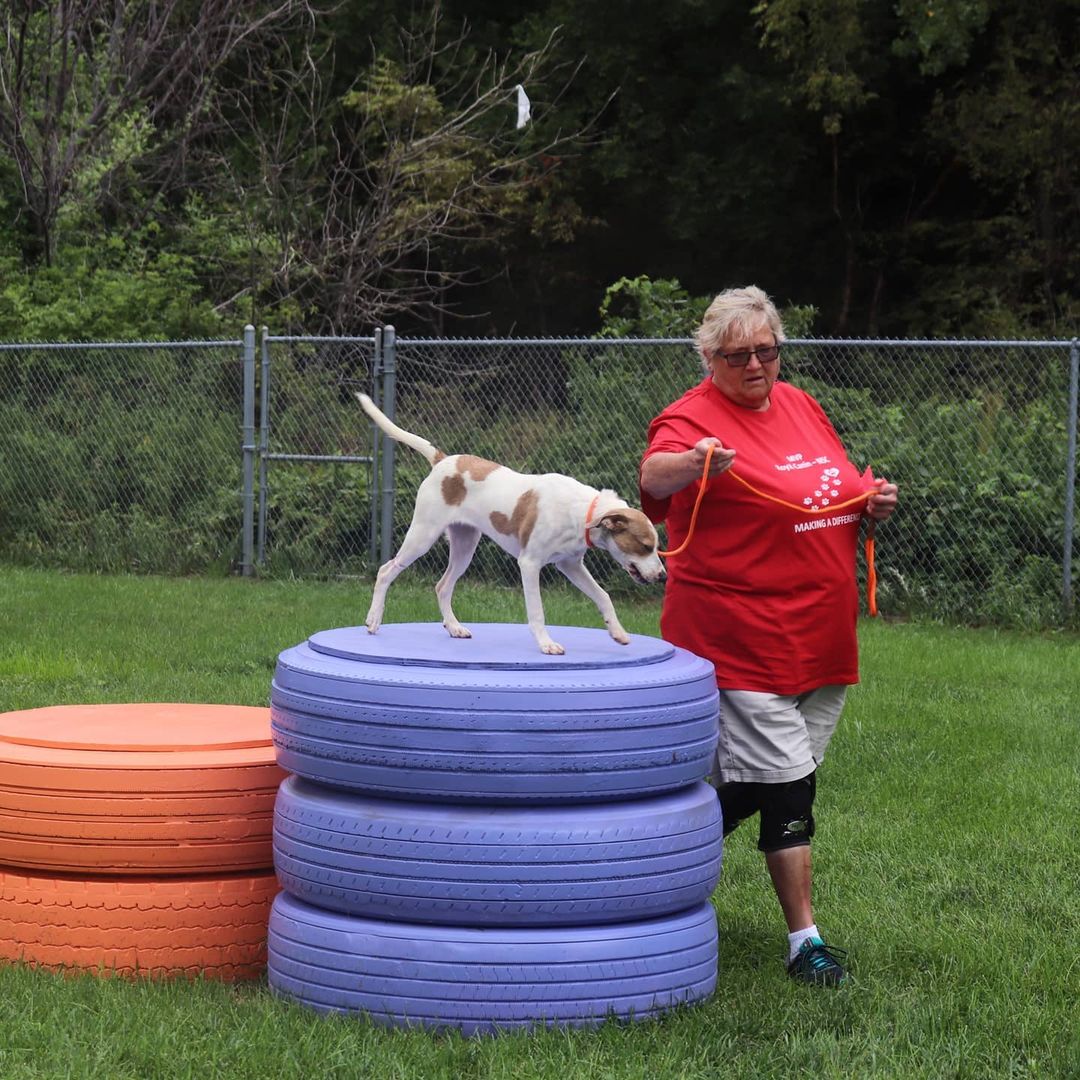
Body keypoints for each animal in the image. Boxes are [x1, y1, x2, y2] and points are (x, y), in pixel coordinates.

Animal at [356, 395, 665, 652]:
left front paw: (617, 632)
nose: (663, 577)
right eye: (645, 546)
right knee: (386, 571)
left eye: (655, 547)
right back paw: (373, 620)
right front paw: (546, 644)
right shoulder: (529, 564)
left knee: (443, 586)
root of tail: (443, 461)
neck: (582, 512)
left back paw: (454, 627)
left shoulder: (571, 565)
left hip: (465, 546)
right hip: (422, 536)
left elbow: (603, 596)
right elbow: (537, 611)